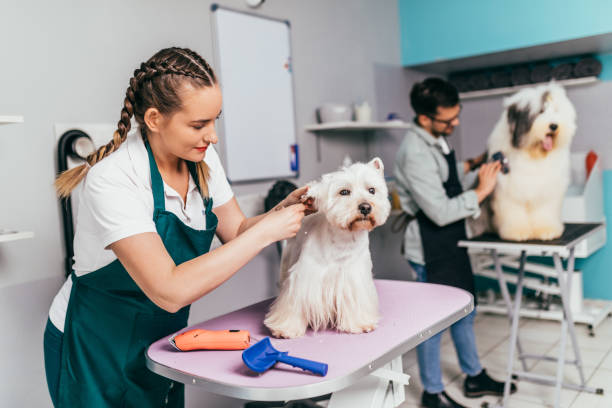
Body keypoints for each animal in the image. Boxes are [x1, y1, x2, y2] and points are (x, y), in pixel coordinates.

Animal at [264, 158, 390, 340]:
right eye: (344, 192)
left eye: (372, 190)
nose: (365, 207)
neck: (344, 238)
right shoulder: (303, 277)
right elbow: (294, 303)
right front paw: (286, 329)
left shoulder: (354, 278)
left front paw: (360, 324)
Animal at [486, 83, 576, 242]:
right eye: (540, 111)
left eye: (556, 111)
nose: (554, 126)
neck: (533, 154)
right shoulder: (509, 190)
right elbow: (513, 211)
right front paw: (517, 232)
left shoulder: (545, 189)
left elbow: (544, 211)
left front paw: (547, 231)